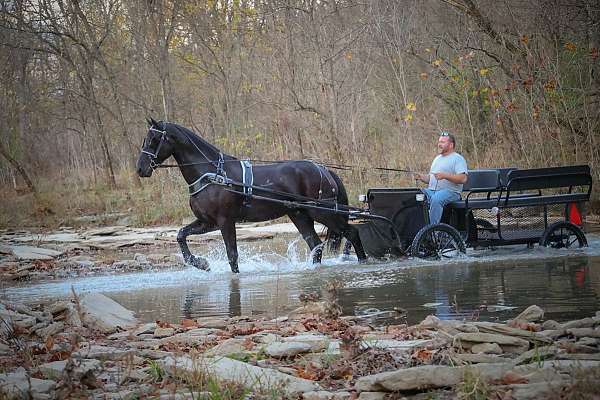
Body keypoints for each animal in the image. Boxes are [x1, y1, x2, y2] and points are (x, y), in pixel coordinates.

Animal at [137, 118, 368, 272]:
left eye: (154, 138)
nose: (140, 168)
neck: (212, 174)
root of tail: (323, 169)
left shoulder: (225, 221)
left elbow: (232, 255)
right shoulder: (207, 222)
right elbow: (180, 235)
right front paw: (201, 263)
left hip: (323, 212)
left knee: (352, 233)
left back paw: (364, 261)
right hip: (300, 215)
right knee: (316, 246)